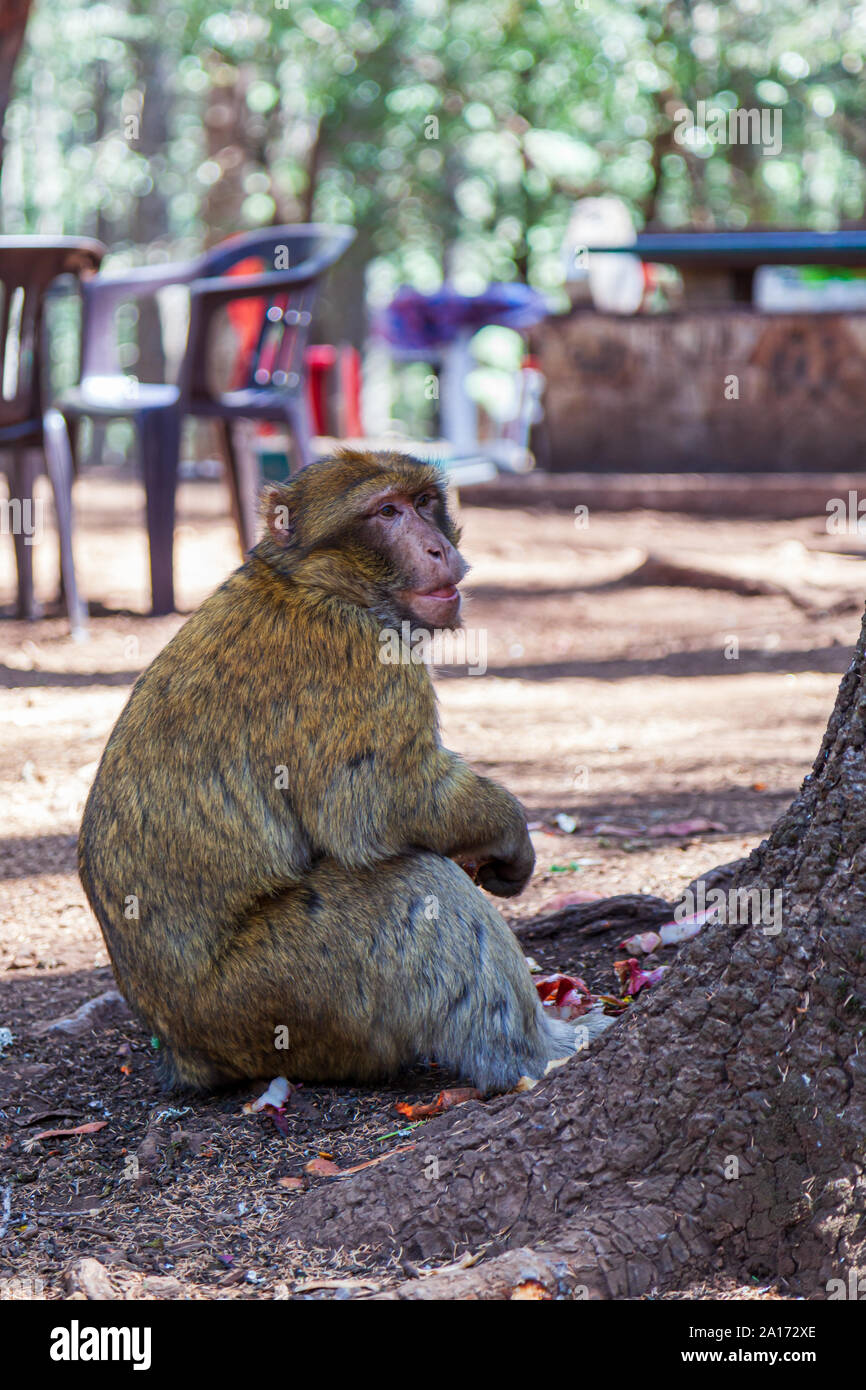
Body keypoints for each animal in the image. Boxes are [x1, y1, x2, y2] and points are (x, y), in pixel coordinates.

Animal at [79, 448, 601, 1094]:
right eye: (387, 512)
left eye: (424, 503)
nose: (436, 548)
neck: (310, 580)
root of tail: (184, 1052)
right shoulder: (362, 659)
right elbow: (383, 805)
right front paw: (509, 833)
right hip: (272, 997)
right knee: (411, 886)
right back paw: (537, 1054)